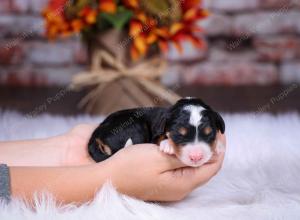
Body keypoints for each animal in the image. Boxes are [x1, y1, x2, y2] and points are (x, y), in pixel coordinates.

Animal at [88, 97, 225, 168]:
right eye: (179, 135)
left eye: (209, 134)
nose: (196, 156)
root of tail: (97, 133)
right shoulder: (155, 136)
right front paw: (168, 145)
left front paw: (218, 145)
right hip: (135, 128)